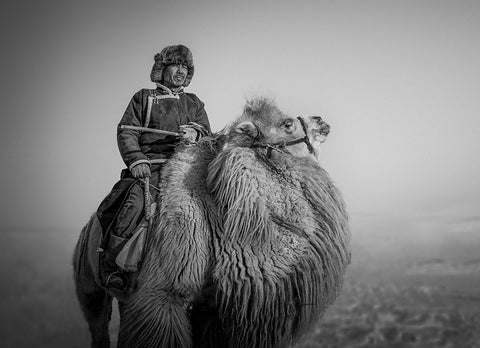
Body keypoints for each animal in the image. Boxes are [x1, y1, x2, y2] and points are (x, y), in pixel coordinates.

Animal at [72, 96, 348, 346]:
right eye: (287, 124)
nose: (320, 121)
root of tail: (86, 228)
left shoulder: (214, 310)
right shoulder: (162, 297)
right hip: (88, 284)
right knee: (97, 321)